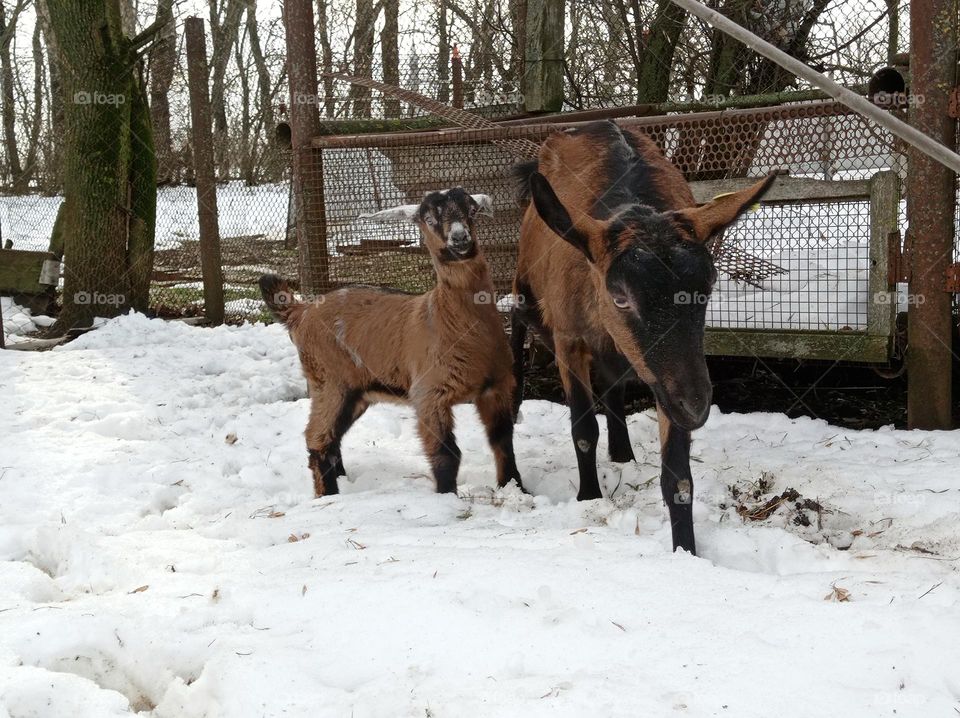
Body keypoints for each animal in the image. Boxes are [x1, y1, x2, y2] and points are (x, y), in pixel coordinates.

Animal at [258, 188, 520, 498]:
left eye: (472, 210)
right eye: (428, 218)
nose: (460, 238)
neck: (446, 315)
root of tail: (302, 312)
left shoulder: (497, 386)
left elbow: (502, 440)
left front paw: (515, 487)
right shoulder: (429, 393)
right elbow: (446, 454)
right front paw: (447, 497)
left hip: (356, 391)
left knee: (332, 436)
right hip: (329, 380)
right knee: (317, 437)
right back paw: (328, 496)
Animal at [510, 121, 772, 556]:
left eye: (708, 287)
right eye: (620, 296)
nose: (696, 405)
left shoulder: (664, 377)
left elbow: (678, 475)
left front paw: (686, 552)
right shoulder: (569, 339)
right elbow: (583, 431)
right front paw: (589, 498)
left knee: (613, 384)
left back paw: (622, 453)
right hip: (524, 292)